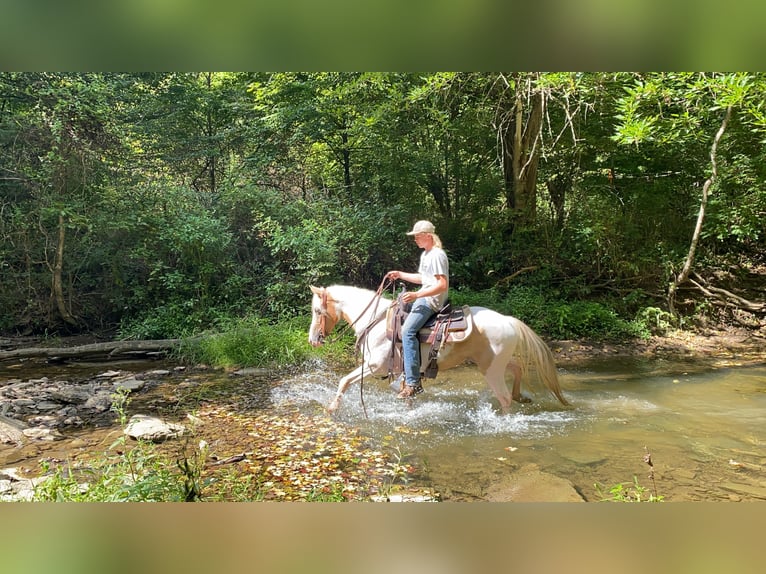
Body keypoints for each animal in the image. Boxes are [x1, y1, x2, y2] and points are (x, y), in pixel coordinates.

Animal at [310, 284, 568, 414]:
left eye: (317, 310)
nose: (313, 340)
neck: (376, 320)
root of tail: (508, 320)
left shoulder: (375, 366)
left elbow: (344, 380)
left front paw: (331, 408)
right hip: (495, 362)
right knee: (516, 368)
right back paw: (520, 396)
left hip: (491, 369)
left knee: (504, 398)